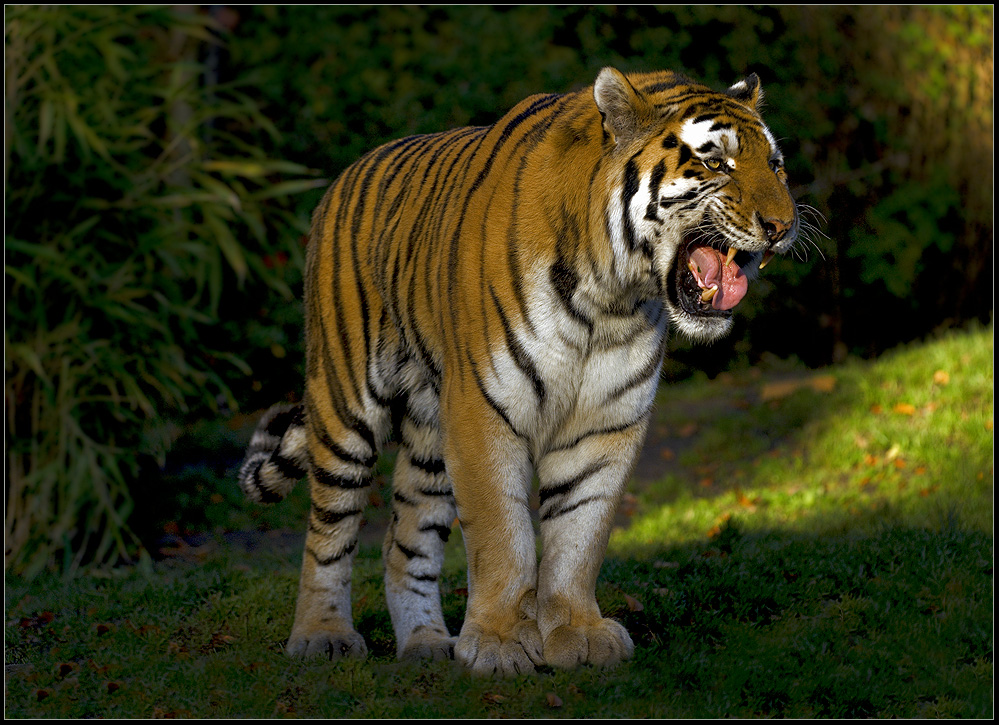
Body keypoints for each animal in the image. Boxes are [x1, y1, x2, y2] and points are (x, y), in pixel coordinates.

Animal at [238, 65, 800, 676]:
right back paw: (323, 636)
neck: (611, 299)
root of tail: (347, 173)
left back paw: (427, 645)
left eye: (775, 165)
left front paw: (578, 633)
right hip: (346, 409)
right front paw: (502, 643)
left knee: (404, 540)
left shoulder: (605, 422)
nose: (783, 226)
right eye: (716, 163)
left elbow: (580, 533)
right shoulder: (482, 410)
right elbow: (502, 533)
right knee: (328, 531)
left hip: (429, 434)